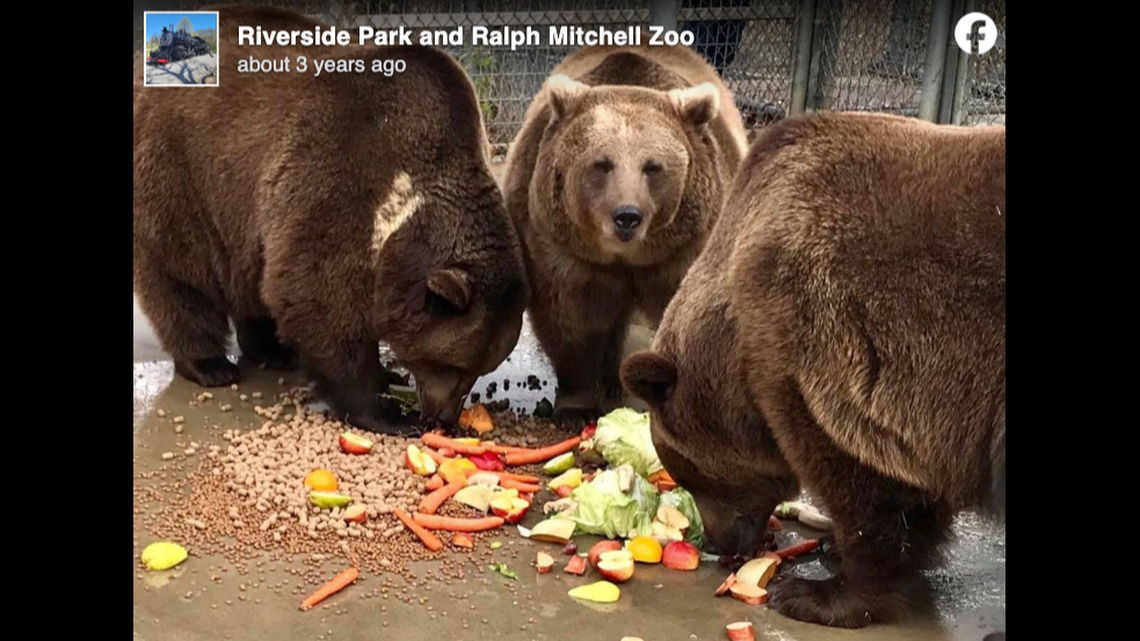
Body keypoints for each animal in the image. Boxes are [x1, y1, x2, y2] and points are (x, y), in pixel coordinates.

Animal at [133, 5, 528, 433]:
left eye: (481, 368)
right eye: (452, 364)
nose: (444, 416)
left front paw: (389, 376)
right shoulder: (340, 172)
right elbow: (316, 294)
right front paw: (388, 411)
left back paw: (273, 350)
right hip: (180, 172)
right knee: (181, 275)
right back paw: (211, 364)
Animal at [501, 41, 748, 426]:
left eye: (653, 167)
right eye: (602, 164)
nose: (627, 216)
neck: (627, 258)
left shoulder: (689, 248)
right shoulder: (560, 247)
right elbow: (568, 319)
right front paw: (575, 407)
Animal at [622, 112, 1005, 628]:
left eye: (690, 475)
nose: (719, 543)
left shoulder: (824, 347)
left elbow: (865, 488)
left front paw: (815, 593)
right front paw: (832, 550)